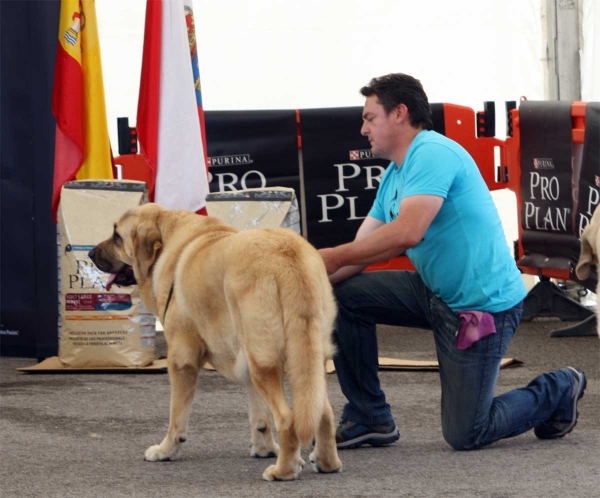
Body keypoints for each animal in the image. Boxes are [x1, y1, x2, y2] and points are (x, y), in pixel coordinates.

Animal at [89, 204, 342, 480]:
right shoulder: (246, 364)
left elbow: (176, 416)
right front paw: (264, 448)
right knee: (323, 412)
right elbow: (259, 417)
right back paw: (326, 463)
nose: (89, 253)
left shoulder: (181, 362)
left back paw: (283, 471)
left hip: (263, 360)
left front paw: (165, 451)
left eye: (117, 237)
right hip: (305, 360)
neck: (167, 236)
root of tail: (288, 258)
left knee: (287, 419)